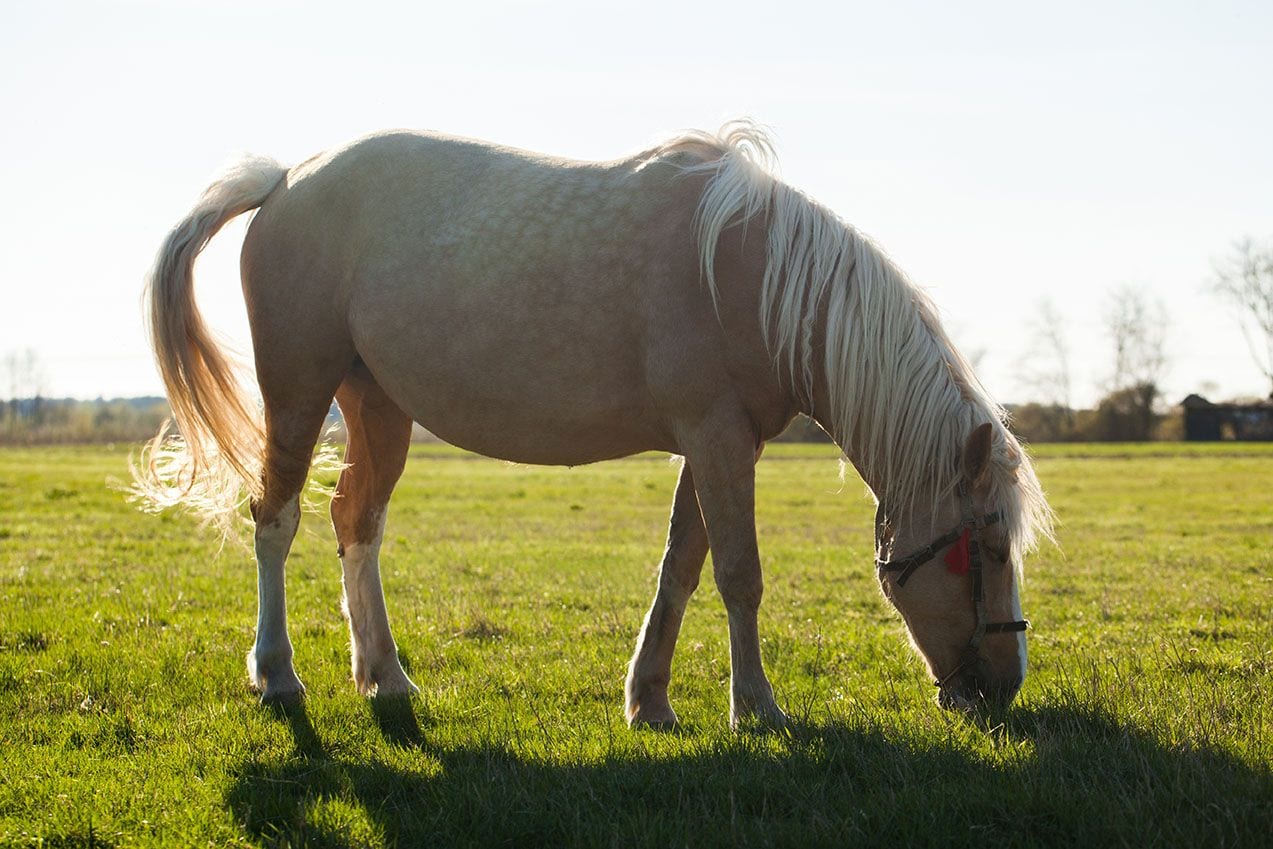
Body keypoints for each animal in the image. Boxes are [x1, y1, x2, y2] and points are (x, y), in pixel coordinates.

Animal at [136, 119, 1054, 728]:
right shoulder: (718, 442)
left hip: (378, 407)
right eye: (986, 545)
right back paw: (276, 674)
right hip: (298, 392)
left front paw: (648, 698)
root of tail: (284, 178)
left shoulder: (716, 445)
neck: (751, 276)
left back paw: (385, 674)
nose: (1005, 686)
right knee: (275, 518)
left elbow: (681, 568)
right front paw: (755, 707)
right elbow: (739, 576)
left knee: (353, 521)